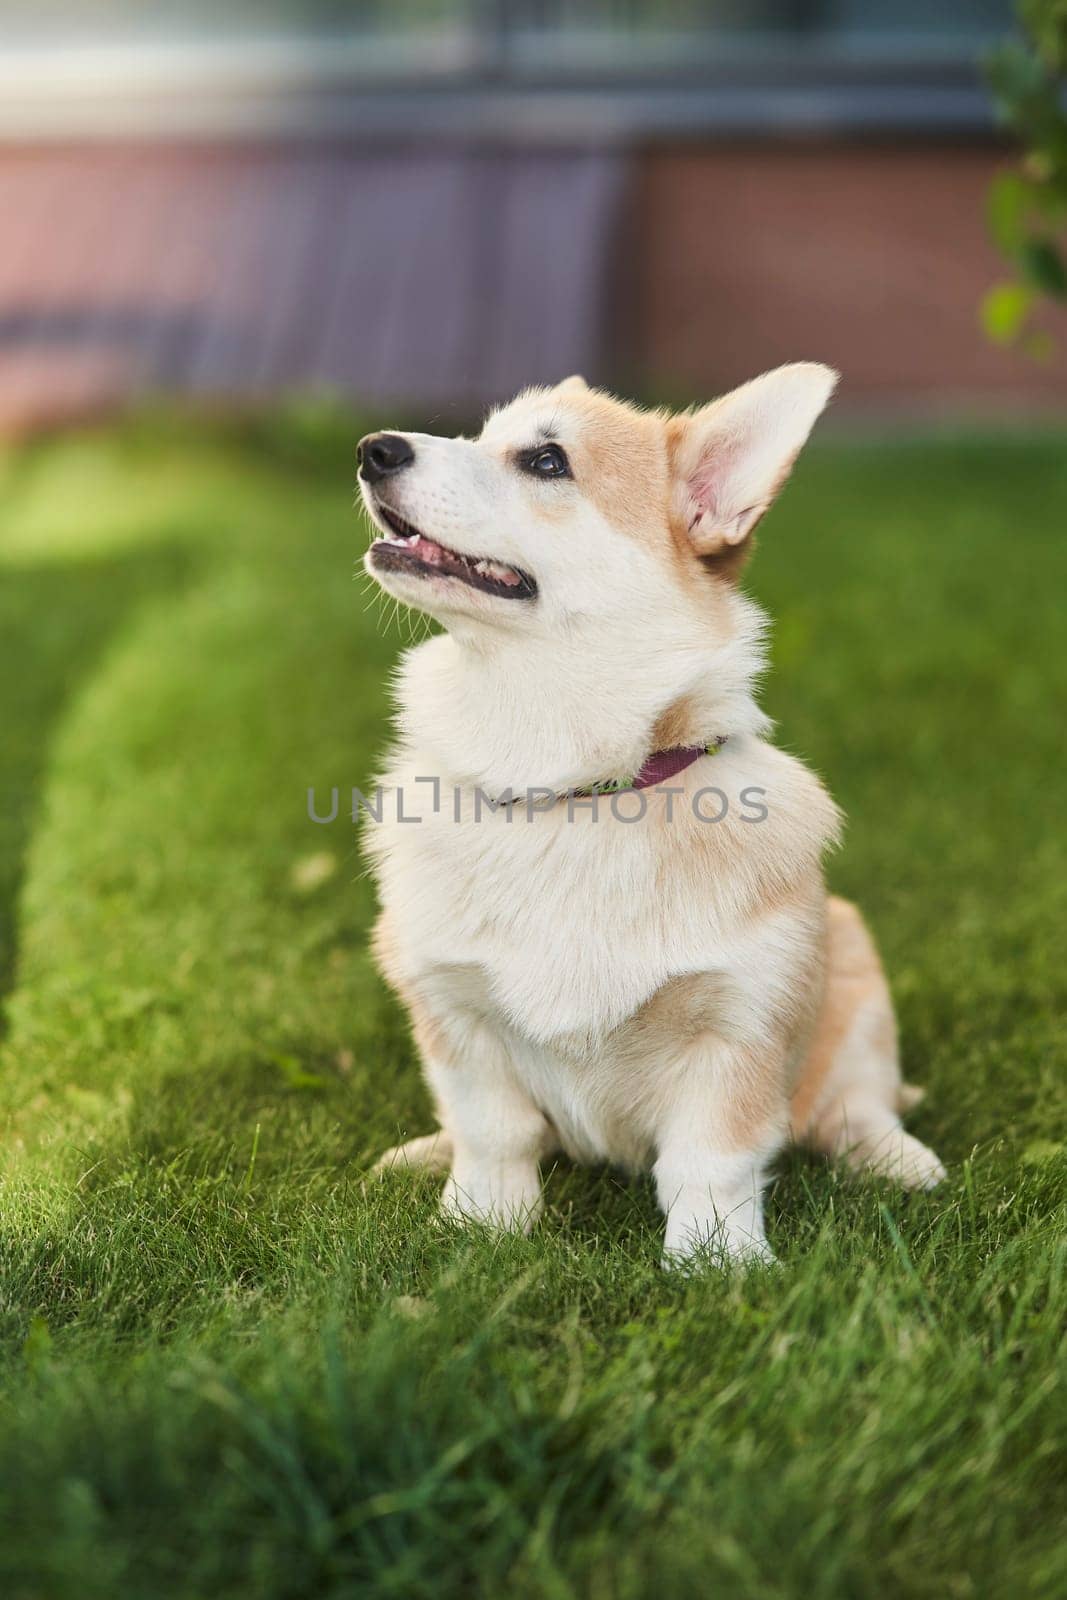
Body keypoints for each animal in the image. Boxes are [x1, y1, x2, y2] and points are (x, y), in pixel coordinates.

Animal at [358, 363, 940, 1260]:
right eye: (482, 436)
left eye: (548, 461)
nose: (372, 450)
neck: (571, 790)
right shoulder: (453, 1010)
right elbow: (493, 1133)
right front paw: (480, 1228)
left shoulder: (735, 1026)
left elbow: (712, 1161)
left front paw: (716, 1263)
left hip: (854, 971)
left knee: (854, 1104)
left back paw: (896, 1159)